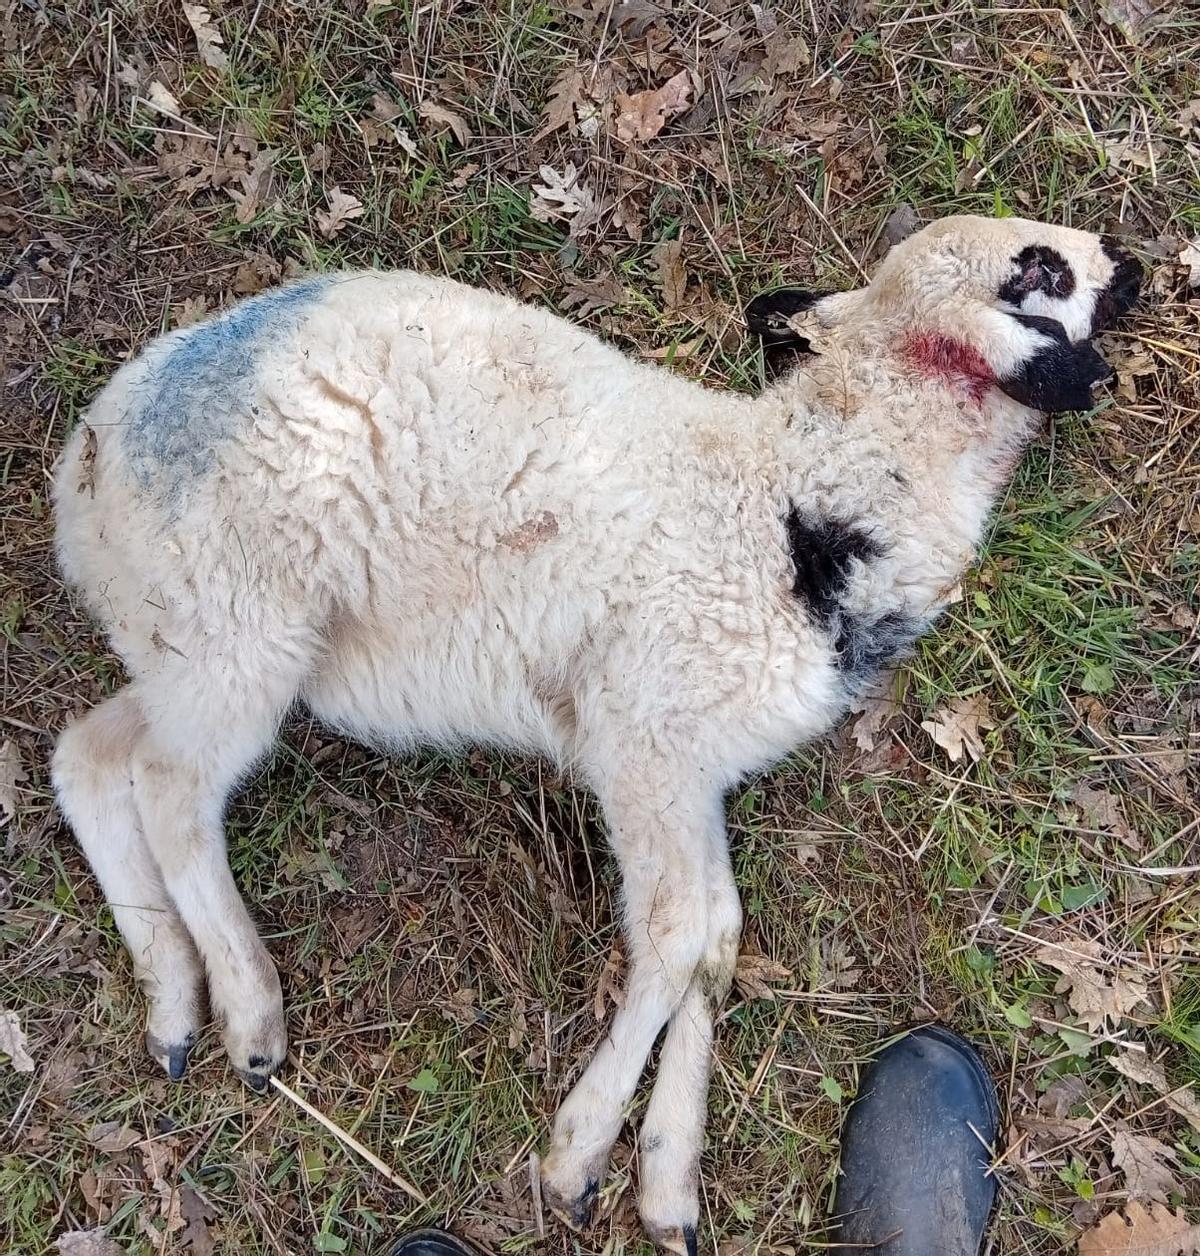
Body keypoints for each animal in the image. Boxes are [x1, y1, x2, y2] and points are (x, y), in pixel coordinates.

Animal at [50, 214, 1141, 1254]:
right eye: (1037, 271)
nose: (1129, 263)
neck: (797, 500)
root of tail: (87, 467)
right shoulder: (642, 736)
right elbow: (675, 936)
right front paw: (577, 1155)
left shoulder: (697, 771)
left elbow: (716, 938)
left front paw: (667, 1184)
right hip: (241, 614)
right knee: (170, 787)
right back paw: (248, 1014)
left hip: (189, 640)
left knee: (92, 756)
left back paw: (172, 1002)